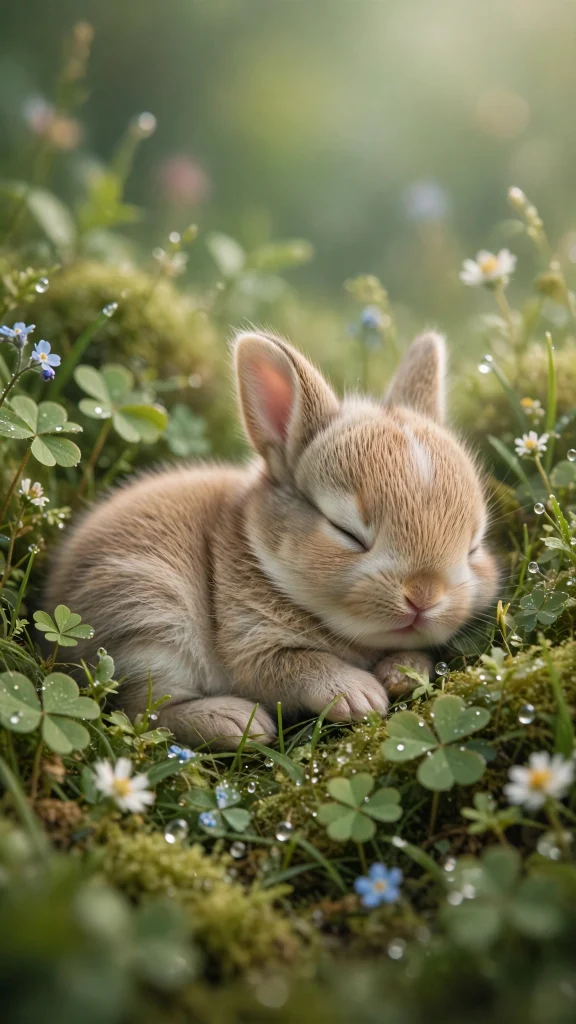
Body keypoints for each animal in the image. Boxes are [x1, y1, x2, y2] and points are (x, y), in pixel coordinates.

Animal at [46, 330, 498, 749]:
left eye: (475, 545)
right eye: (346, 531)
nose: (423, 596)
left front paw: (403, 673)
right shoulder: (249, 642)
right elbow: (295, 667)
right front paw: (361, 695)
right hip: (150, 615)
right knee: (142, 711)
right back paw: (236, 722)